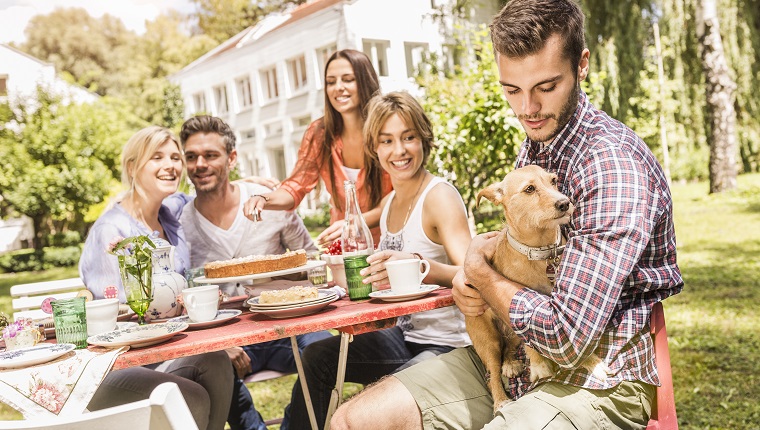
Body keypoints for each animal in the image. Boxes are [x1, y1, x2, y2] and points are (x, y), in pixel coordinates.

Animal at [466, 163, 608, 412]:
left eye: (553, 181)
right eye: (529, 189)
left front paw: (592, 363)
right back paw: (501, 400)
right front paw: (540, 365)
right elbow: (530, 340)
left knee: (509, 346)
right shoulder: (519, 303)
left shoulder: (560, 307)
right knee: (493, 372)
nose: (564, 203)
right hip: (487, 339)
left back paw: (511, 362)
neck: (541, 252)